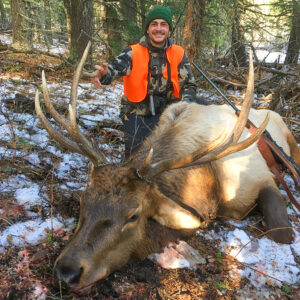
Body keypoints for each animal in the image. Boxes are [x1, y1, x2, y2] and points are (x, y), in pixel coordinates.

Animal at [34, 43, 298, 294]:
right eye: (83, 201)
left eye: (133, 215)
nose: (67, 272)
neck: (211, 186)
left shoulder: (261, 178)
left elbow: (282, 233)